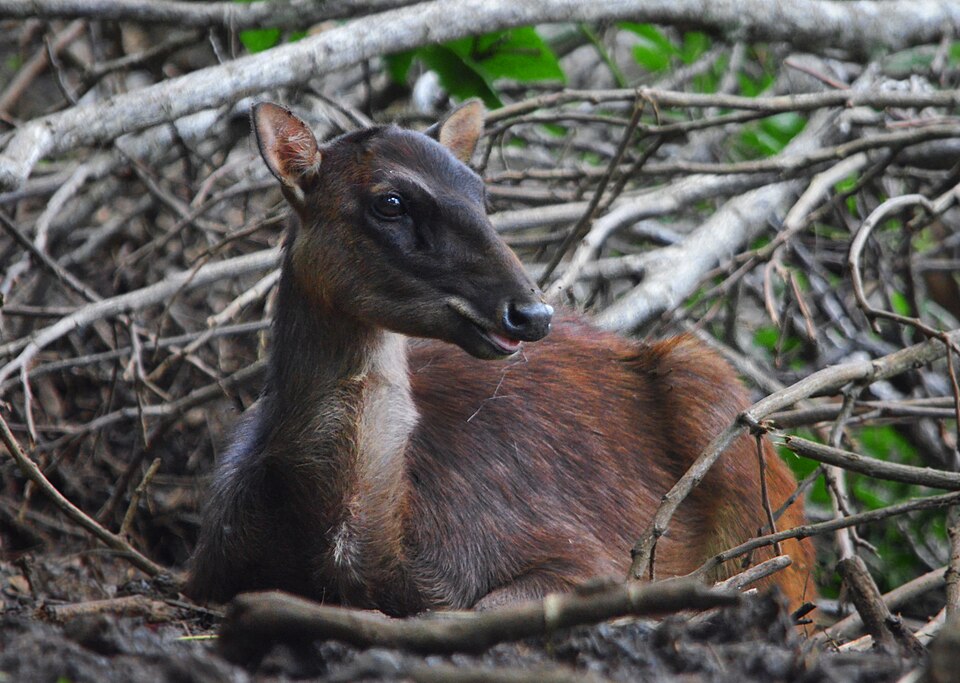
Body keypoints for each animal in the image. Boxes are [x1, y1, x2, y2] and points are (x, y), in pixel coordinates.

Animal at [185, 100, 815, 616]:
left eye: (481, 194)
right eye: (390, 202)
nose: (531, 313)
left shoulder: (581, 554)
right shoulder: (208, 569)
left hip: (720, 409)